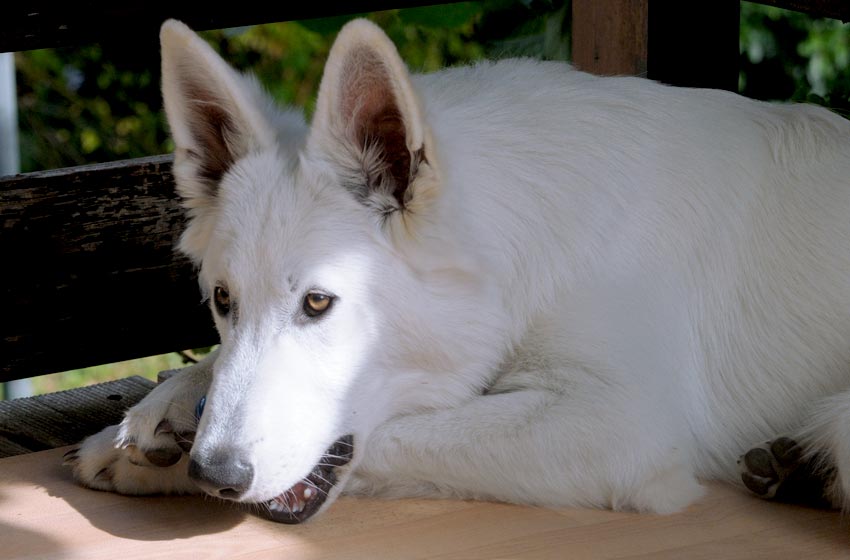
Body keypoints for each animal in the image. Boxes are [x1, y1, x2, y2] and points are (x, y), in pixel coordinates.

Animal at [65, 18, 850, 524]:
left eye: (318, 303)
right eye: (222, 301)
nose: (215, 474)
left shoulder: (622, 423)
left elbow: (409, 429)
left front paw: (171, 460)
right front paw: (155, 418)